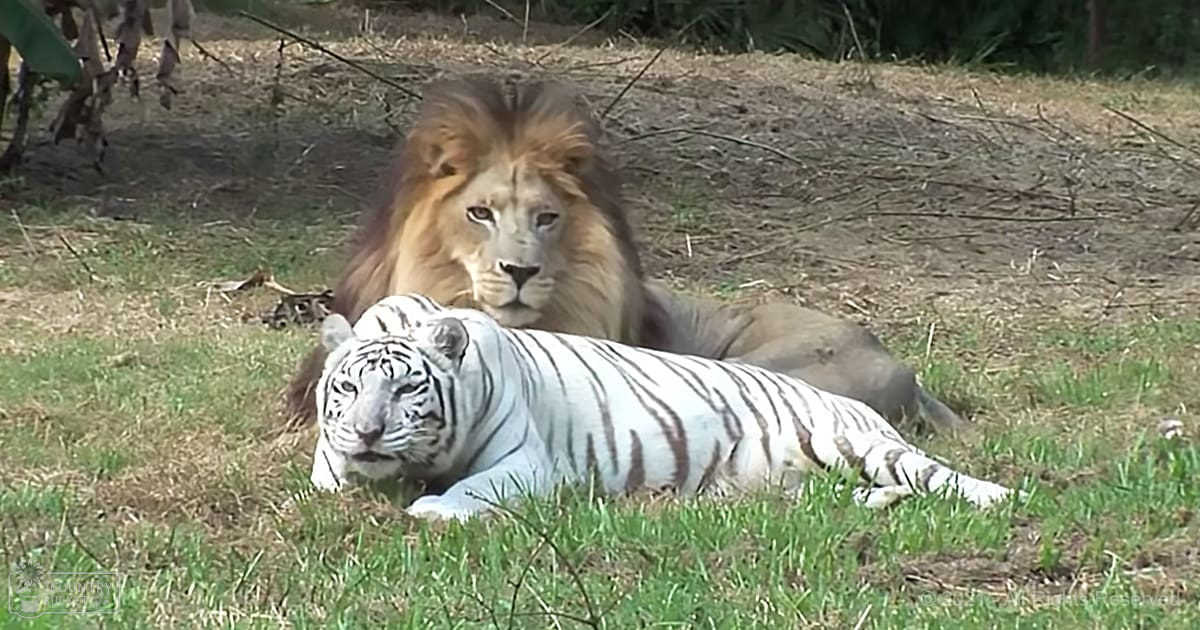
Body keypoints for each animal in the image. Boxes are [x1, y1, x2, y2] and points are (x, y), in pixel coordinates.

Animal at [309, 293, 1027, 521]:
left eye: (407, 389)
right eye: (346, 391)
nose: (368, 432)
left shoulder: (529, 462)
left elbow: (474, 490)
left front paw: (434, 509)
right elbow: (329, 477)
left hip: (855, 440)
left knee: (938, 476)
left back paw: (1007, 498)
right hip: (782, 485)